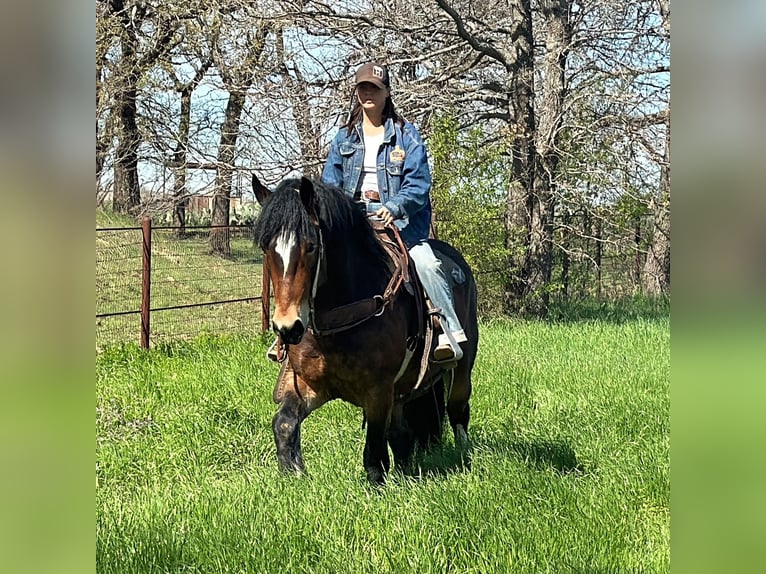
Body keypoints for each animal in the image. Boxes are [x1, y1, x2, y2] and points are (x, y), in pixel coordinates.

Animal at [252, 177, 480, 486]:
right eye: (266, 247)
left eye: (311, 246)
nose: (288, 327)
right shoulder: (310, 385)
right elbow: (284, 423)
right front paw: (294, 472)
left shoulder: (378, 391)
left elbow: (374, 446)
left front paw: (376, 483)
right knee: (402, 432)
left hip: (462, 369)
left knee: (457, 412)